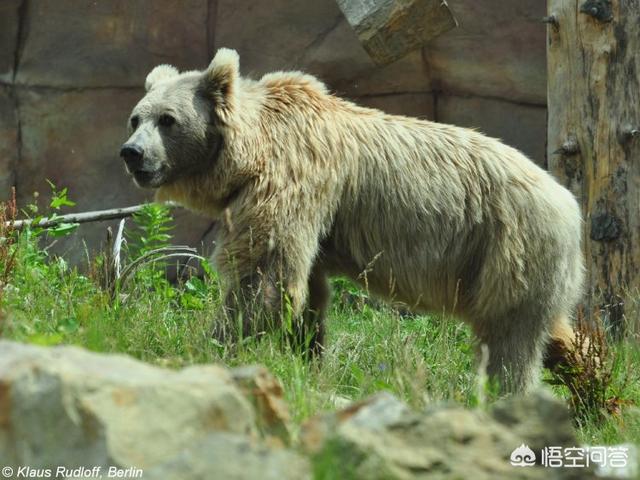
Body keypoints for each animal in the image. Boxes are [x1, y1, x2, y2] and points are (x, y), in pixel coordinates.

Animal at [121, 48, 584, 394]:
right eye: (136, 117)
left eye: (167, 119)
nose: (132, 153)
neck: (249, 154)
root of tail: (568, 203)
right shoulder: (310, 219)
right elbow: (303, 290)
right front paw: (305, 356)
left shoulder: (292, 180)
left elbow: (263, 277)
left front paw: (211, 347)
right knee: (550, 331)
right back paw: (587, 380)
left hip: (510, 248)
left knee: (509, 343)